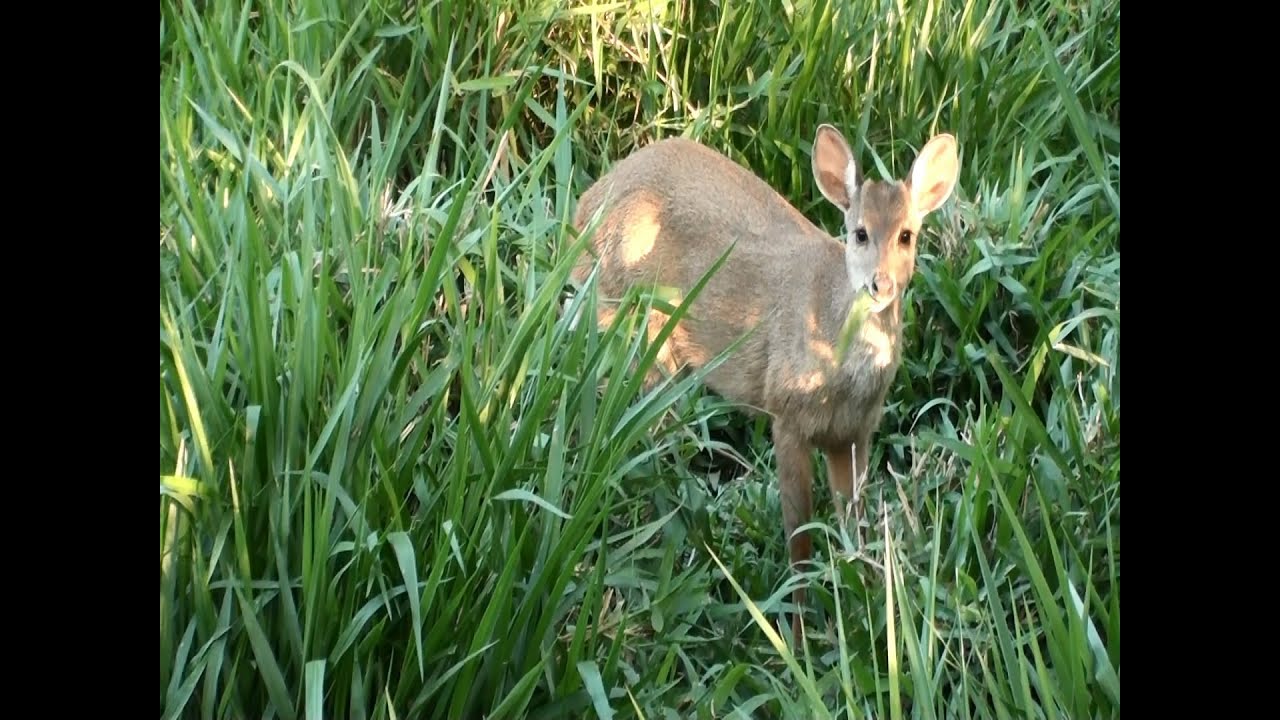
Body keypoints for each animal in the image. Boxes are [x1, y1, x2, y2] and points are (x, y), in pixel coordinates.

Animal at [568, 123, 960, 644]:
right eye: (859, 233)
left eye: (907, 235)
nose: (879, 285)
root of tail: (585, 205)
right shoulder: (786, 414)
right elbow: (799, 535)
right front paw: (797, 636)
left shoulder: (855, 433)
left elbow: (853, 525)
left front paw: (869, 602)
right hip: (628, 324)